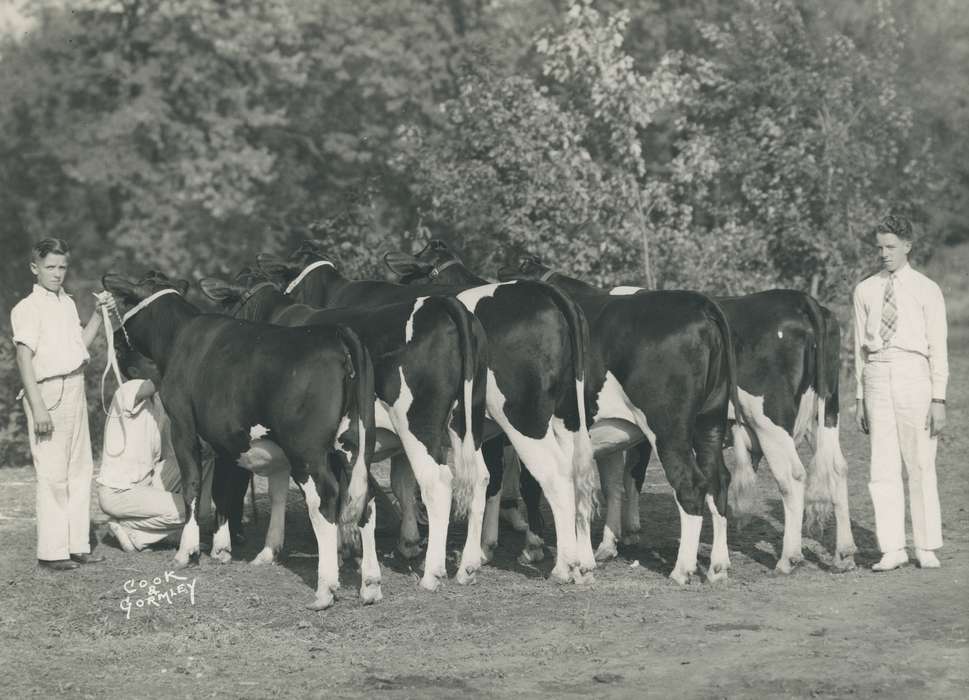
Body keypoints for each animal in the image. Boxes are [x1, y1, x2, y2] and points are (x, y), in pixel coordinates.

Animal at [101, 272, 378, 610]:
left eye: (126, 299)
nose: (115, 339)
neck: (181, 337)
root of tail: (335, 334)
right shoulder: (226, 441)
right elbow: (231, 491)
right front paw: (227, 549)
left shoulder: (183, 427)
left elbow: (194, 486)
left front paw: (186, 552)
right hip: (354, 444)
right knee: (367, 497)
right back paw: (370, 585)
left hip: (307, 452)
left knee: (325, 500)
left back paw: (325, 589)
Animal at [199, 273, 490, 590]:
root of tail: (442, 305)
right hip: (466, 421)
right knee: (480, 476)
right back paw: (468, 566)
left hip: (418, 426)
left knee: (436, 483)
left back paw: (432, 574)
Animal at [258, 241, 598, 584]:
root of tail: (544, 292)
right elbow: (404, 482)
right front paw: (410, 540)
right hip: (564, 415)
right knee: (572, 471)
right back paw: (580, 563)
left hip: (517, 417)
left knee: (544, 476)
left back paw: (554, 564)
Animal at [402, 243, 744, 585]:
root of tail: (700, 304)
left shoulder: (500, 428)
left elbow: (509, 482)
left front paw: (515, 546)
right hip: (708, 421)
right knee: (718, 480)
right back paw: (717, 566)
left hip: (666, 427)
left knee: (689, 483)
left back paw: (681, 568)